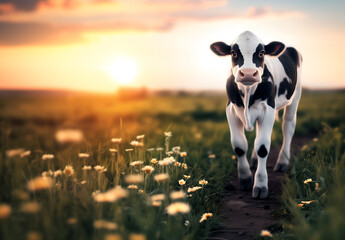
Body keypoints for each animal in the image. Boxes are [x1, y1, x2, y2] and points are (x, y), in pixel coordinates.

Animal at [210, 30, 300, 199]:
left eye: (261, 53)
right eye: (233, 53)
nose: (248, 74)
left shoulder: (268, 110)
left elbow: (262, 147)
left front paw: (260, 185)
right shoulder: (231, 110)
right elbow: (239, 146)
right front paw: (245, 178)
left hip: (295, 97)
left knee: (288, 127)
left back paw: (282, 162)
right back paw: (253, 161)